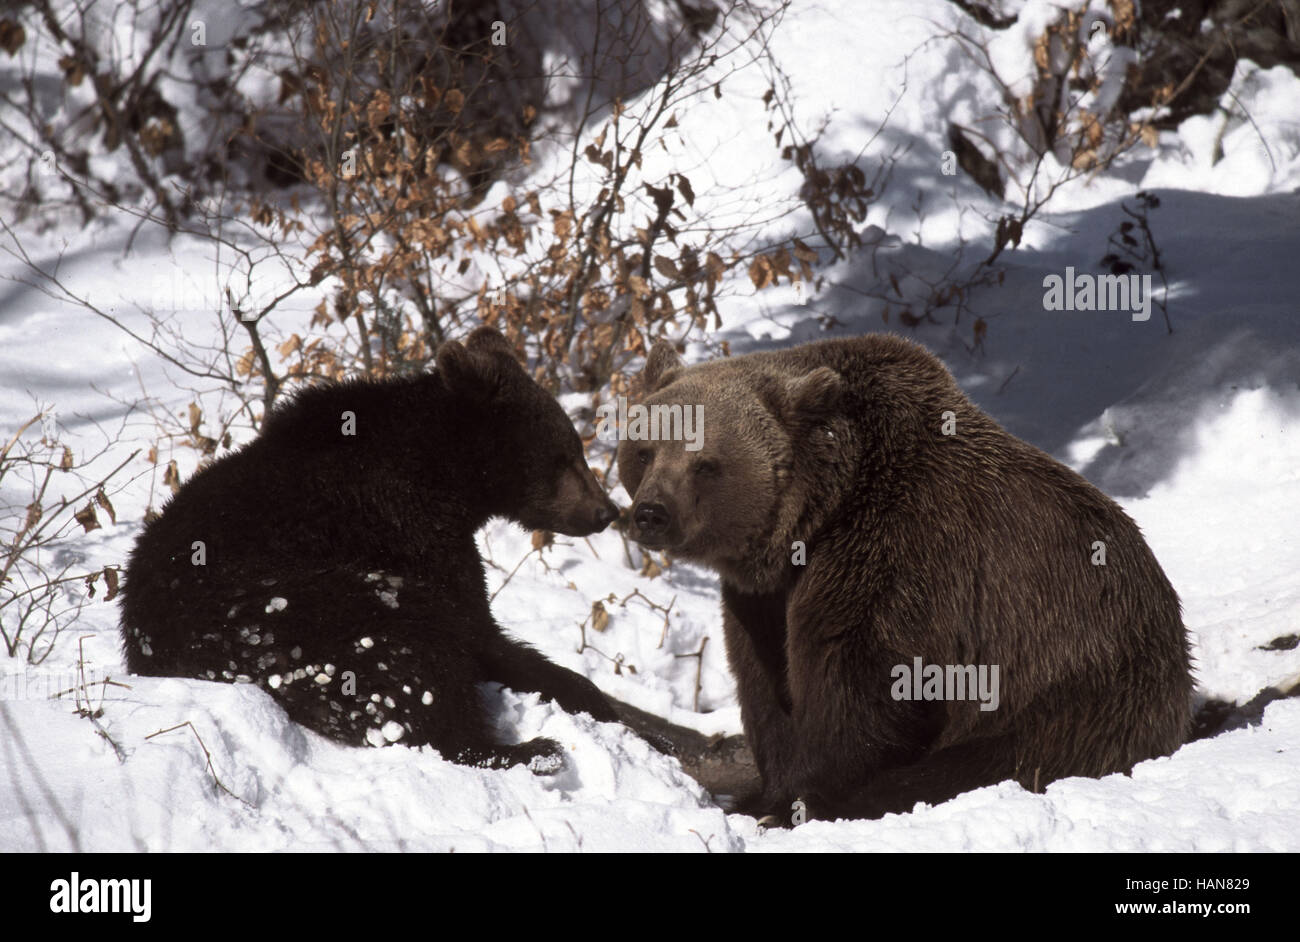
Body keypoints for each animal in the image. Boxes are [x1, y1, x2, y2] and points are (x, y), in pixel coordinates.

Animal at [124, 327, 621, 769]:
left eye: (575, 450)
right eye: (563, 457)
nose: (606, 511)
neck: (447, 480)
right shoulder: (408, 529)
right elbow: (478, 629)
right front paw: (589, 698)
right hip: (305, 615)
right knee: (414, 660)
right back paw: (532, 750)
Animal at [613, 335, 1190, 821]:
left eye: (705, 463)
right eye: (644, 449)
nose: (651, 514)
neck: (817, 517)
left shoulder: (897, 557)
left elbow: (864, 689)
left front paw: (801, 799)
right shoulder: (763, 597)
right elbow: (765, 684)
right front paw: (766, 793)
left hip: (1077, 674)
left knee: (996, 757)